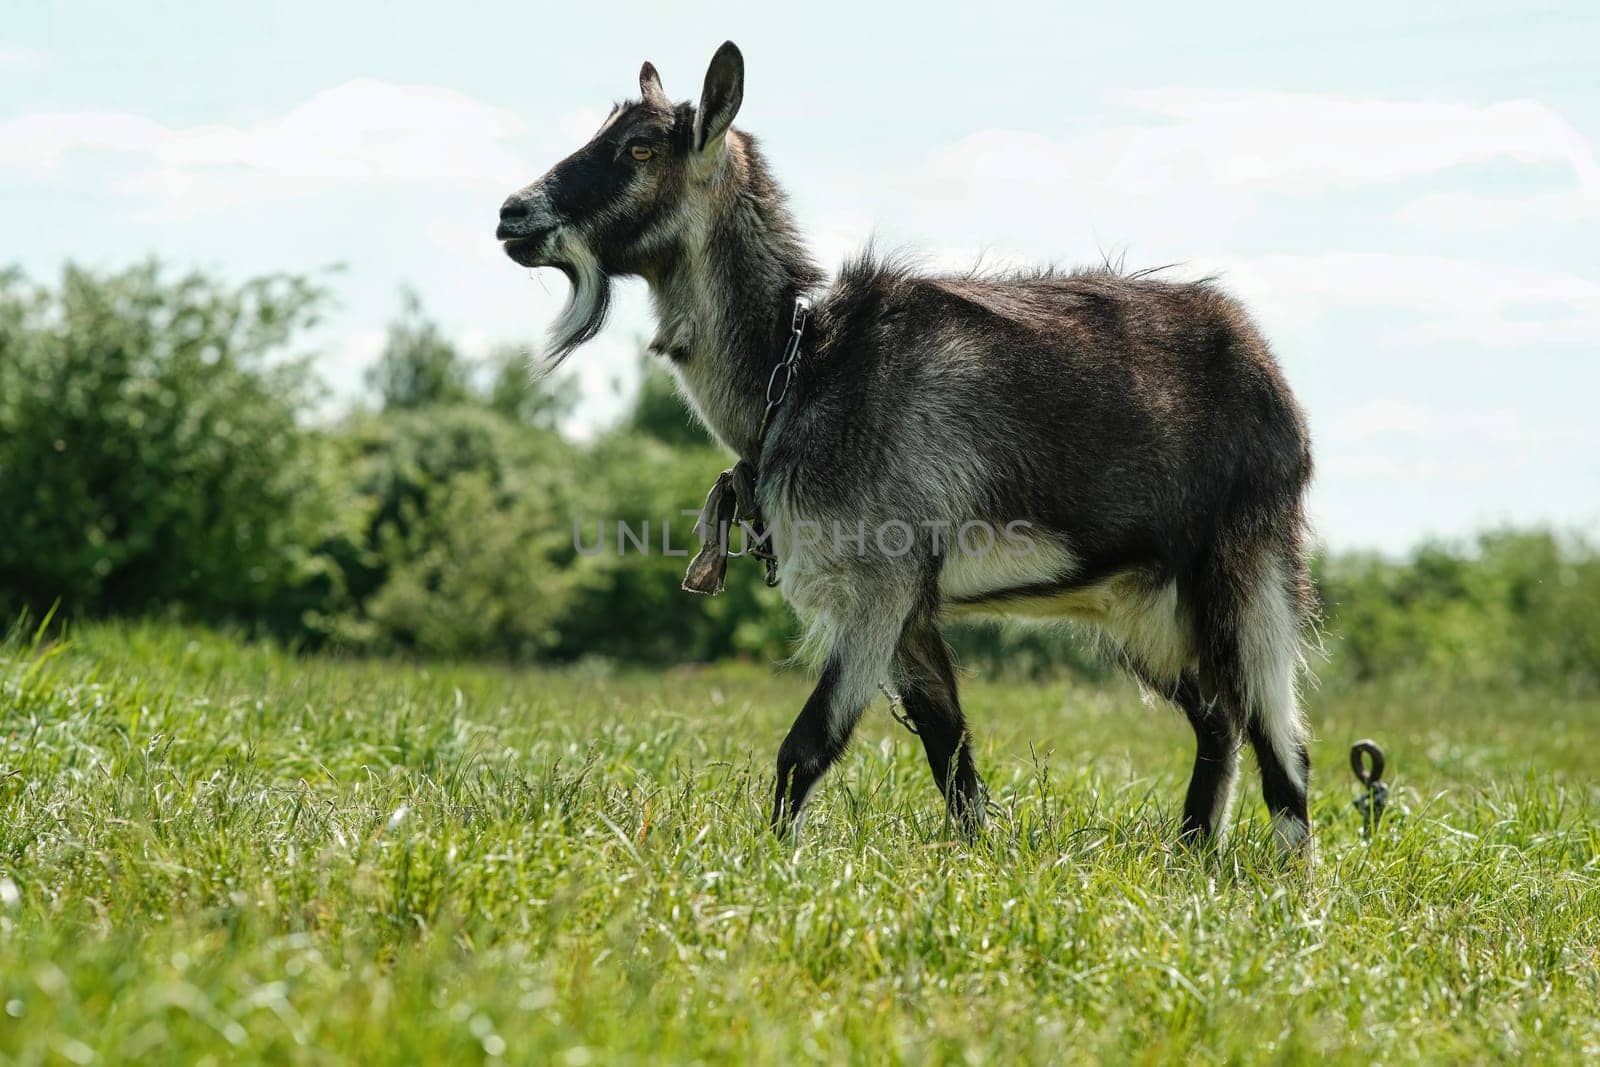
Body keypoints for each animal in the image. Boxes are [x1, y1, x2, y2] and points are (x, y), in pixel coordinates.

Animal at [496, 41, 1312, 857]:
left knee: (1282, 739)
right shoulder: (911, 609)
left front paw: (771, 860)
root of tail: (1267, 372)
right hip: (1143, 603)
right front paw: (976, 858)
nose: (512, 213)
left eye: (640, 148)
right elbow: (949, 749)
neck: (800, 368)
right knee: (1218, 718)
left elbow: (807, 744)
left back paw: (1283, 873)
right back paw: (1193, 851)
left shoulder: (879, 583)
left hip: (1246, 565)